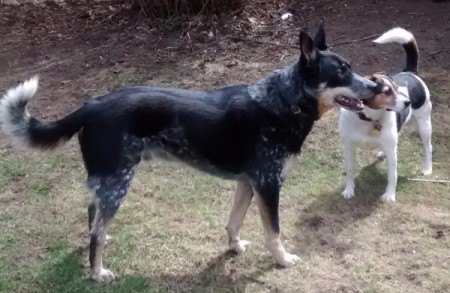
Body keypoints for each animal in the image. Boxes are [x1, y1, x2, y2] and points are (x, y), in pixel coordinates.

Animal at [0, 23, 380, 282]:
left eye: (351, 67)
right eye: (341, 72)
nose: (375, 85)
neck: (285, 101)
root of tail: (90, 105)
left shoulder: (248, 183)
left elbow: (233, 222)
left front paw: (234, 249)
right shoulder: (268, 184)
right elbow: (274, 232)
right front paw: (283, 260)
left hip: (106, 182)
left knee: (93, 219)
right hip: (118, 181)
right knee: (96, 231)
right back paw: (97, 273)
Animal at [342, 27, 432, 201]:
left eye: (397, 88)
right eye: (387, 91)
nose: (408, 102)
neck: (368, 118)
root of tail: (411, 72)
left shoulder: (392, 153)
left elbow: (392, 175)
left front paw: (389, 195)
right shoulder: (348, 147)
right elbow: (349, 171)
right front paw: (349, 190)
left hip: (424, 125)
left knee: (428, 148)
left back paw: (427, 169)